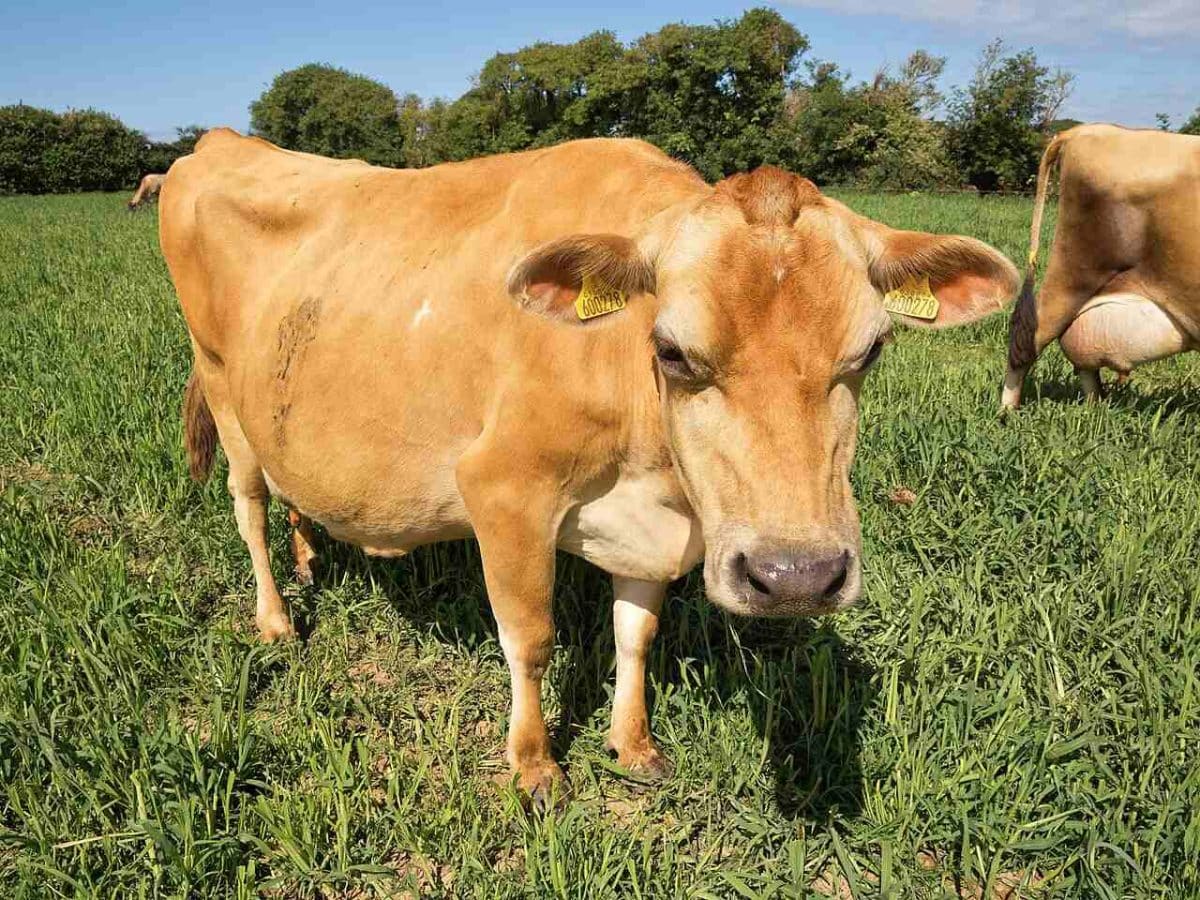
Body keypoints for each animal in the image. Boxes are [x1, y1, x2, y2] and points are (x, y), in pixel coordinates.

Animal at [161, 129, 1019, 804]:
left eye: (870, 349)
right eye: (672, 351)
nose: (796, 577)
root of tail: (221, 143)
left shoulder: (652, 532)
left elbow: (635, 634)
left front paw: (632, 744)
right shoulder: (504, 489)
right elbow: (530, 639)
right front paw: (533, 765)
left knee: (292, 490)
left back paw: (310, 558)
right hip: (222, 389)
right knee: (247, 504)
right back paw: (276, 618)